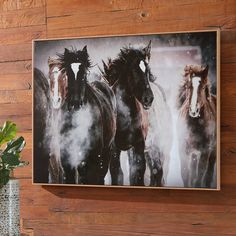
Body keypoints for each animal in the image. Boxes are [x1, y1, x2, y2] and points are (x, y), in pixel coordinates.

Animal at [55, 46, 117, 184]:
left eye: (83, 74)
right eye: (68, 73)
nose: (75, 103)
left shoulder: (93, 157)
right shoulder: (66, 157)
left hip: (107, 151)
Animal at [102, 42, 154, 186]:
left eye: (147, 70)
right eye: (133, 70)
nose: (148, 99)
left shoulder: (138, 145)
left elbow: (138, 173)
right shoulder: (114, 148)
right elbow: (117, 174)